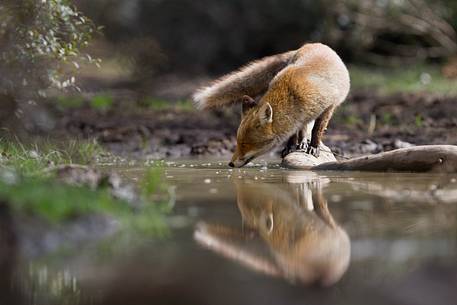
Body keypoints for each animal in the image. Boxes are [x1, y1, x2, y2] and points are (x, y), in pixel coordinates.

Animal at [192, 42, 350, 166]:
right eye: (237, 142)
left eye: (245, 144)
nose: (230, 164)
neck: (292, 92)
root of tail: (313, 43)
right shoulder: (298, 117)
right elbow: (294, 132)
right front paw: (290, 146)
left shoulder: (328, 106)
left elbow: (317, 130)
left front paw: (314, 147)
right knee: (303, 128)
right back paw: (302, 141)